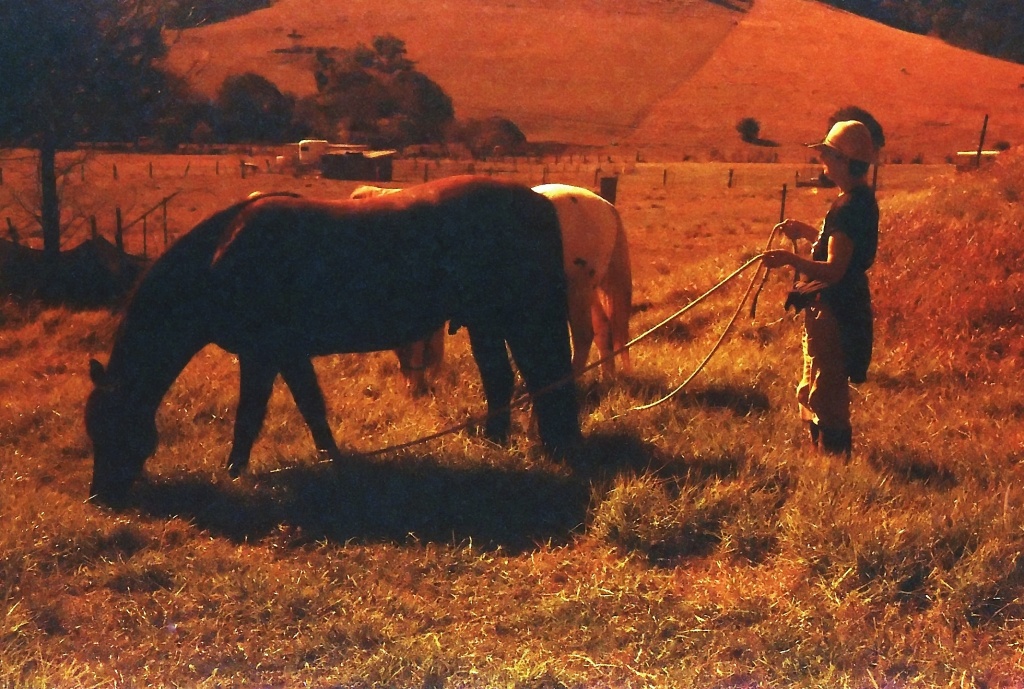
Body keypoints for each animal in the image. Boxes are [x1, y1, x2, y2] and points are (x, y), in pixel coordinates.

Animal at [86, 175, 585, 501]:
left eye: (112, 425)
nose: (99, 497)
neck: (219, 256)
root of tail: (538, 202)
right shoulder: (286, 354)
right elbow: (311, 409)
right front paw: (335, 462)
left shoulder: (261, 355)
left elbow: (251, 416)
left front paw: (234, 473)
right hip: (486, 321)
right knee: (502, 380)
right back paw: (496, 446)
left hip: (520, 318)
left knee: (542, 377)